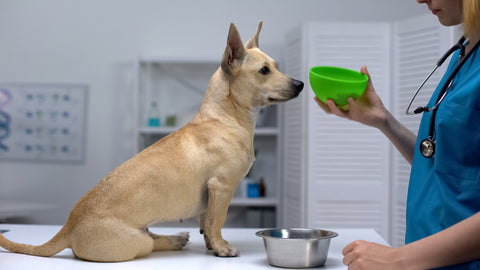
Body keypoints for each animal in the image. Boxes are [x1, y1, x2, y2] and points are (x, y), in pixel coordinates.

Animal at [0, 21, 302, 262]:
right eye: (264, 71)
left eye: (276, 66)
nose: (299, 84)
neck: (222, 117)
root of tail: (67, 228)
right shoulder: (222, 187)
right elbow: (217, 222)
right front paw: (222, 248)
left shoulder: (212, 194)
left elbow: (207, 223)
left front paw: (211, 246)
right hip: (137, 241)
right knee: (150, 243)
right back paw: (174, 241)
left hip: (142, 233)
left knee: (156, 236)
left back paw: (176, 239)